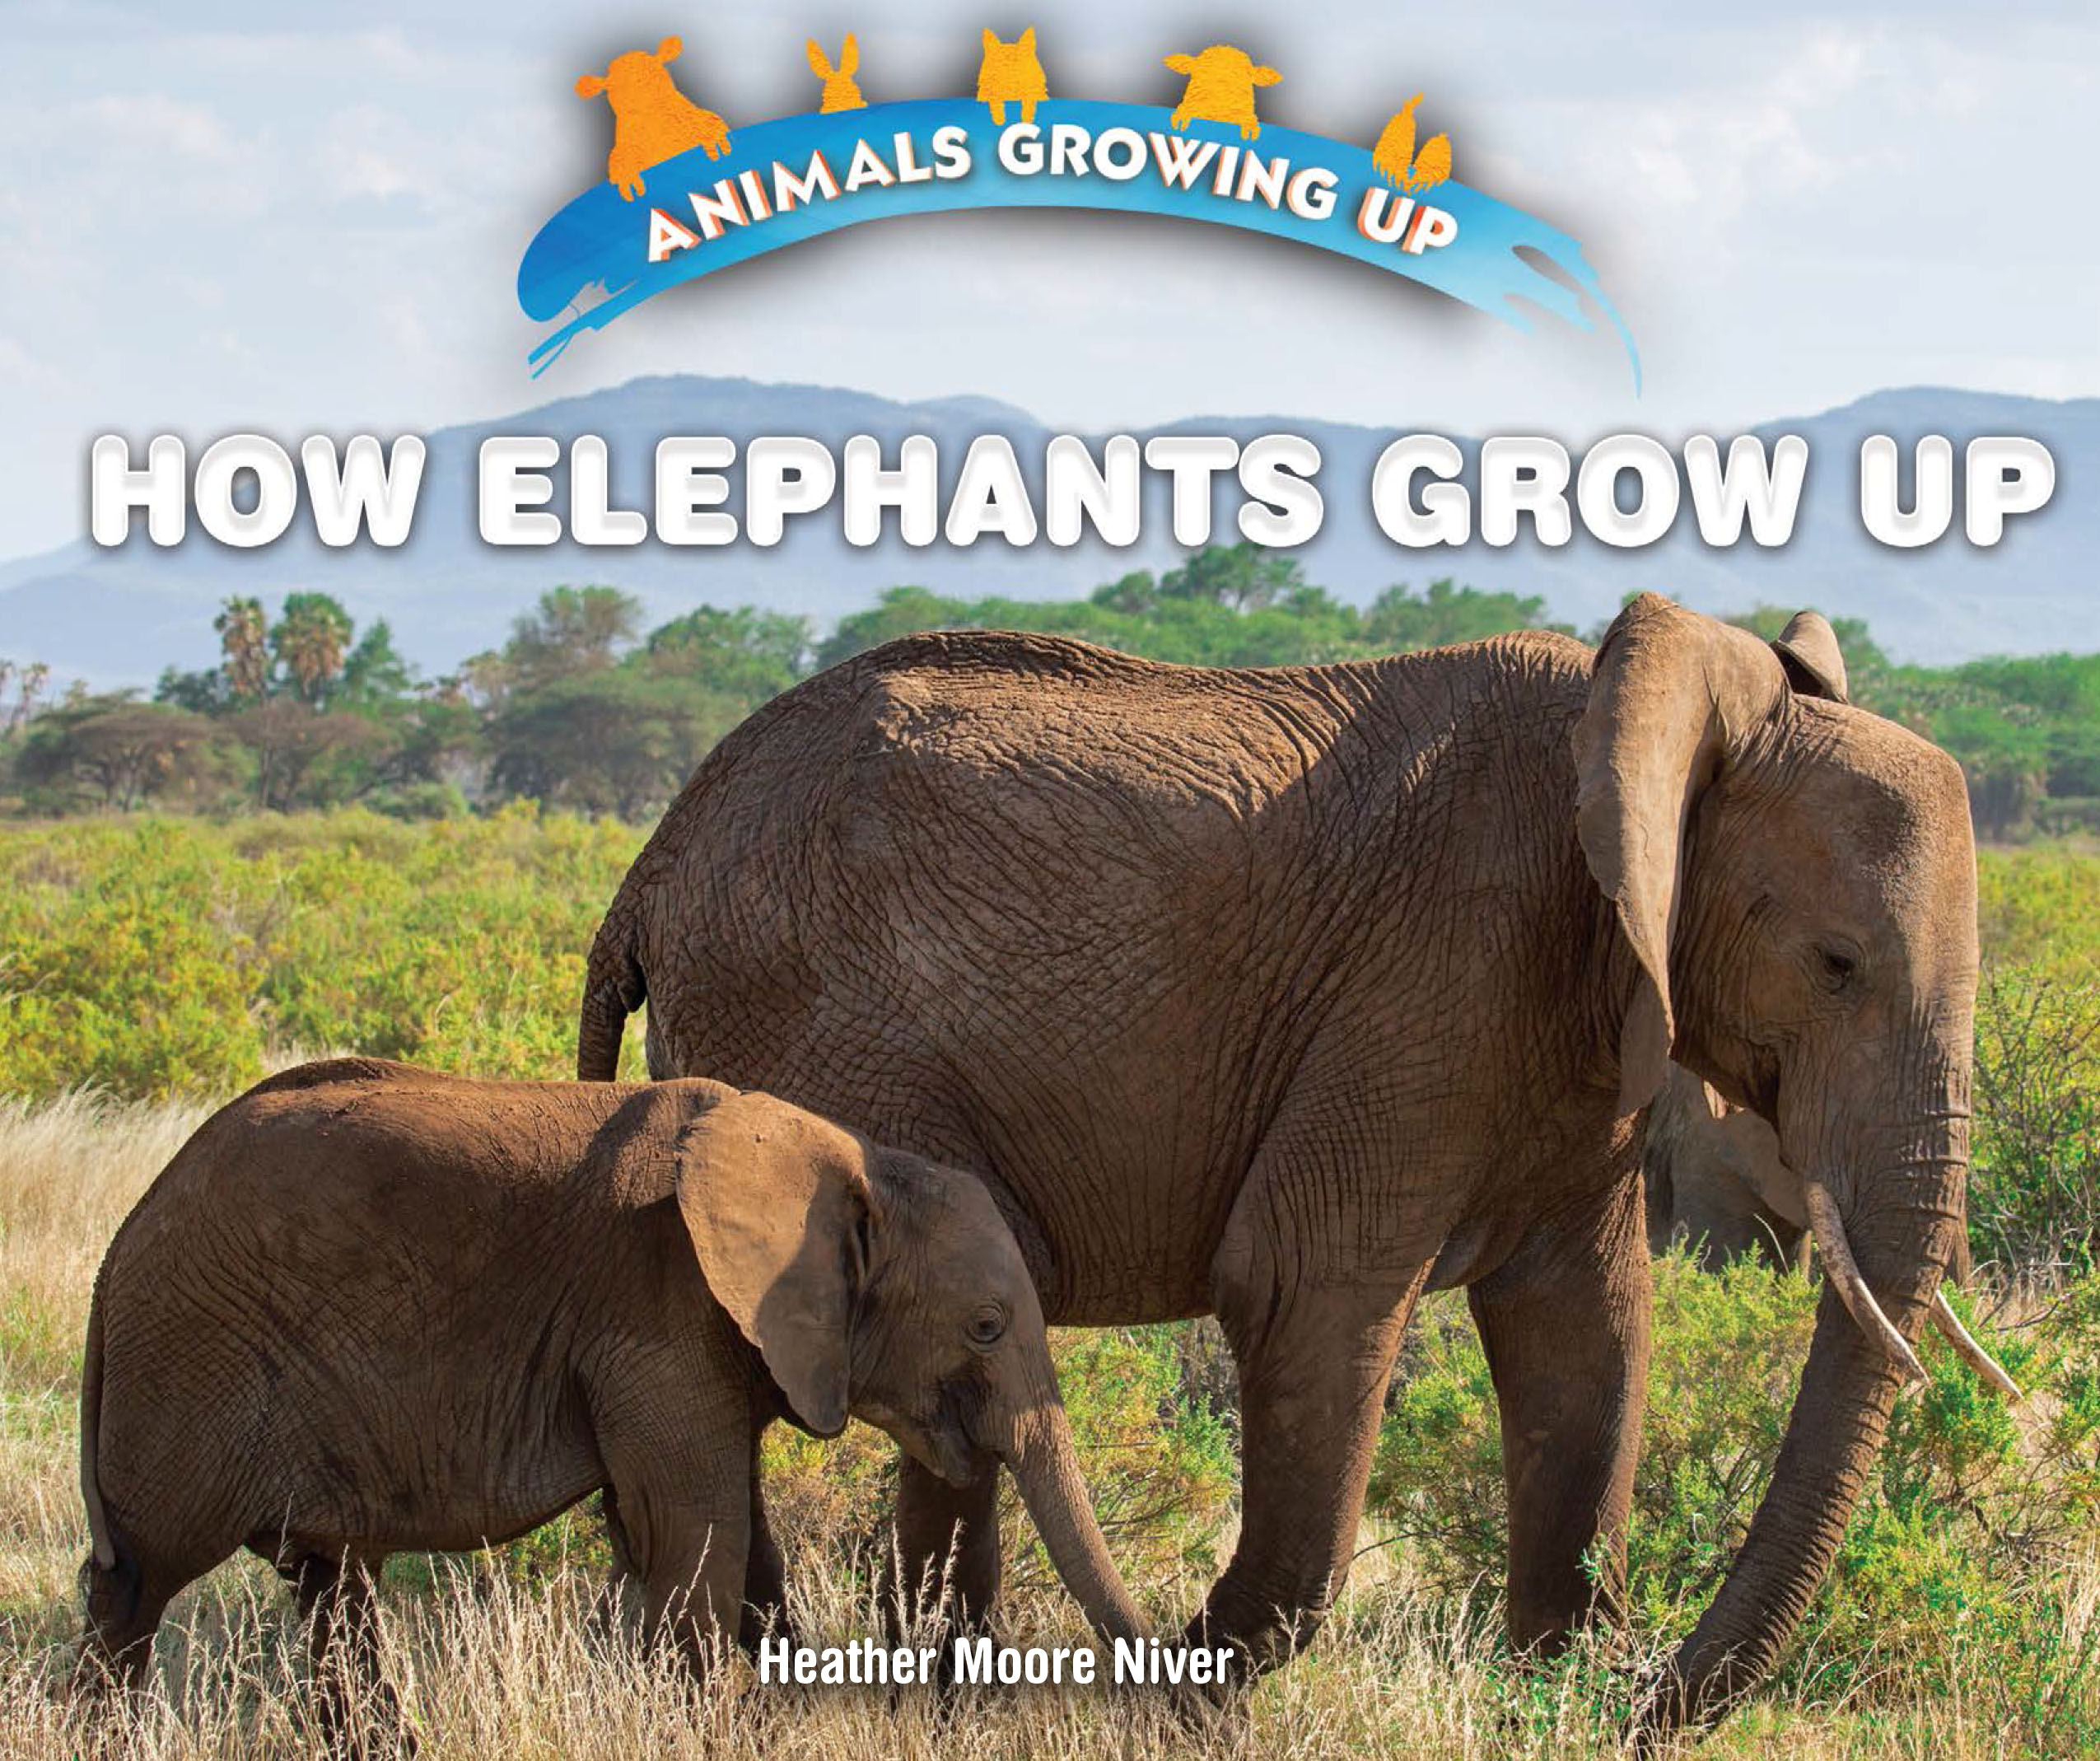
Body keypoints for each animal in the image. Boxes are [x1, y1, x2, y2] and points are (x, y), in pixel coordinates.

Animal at [75, 1057, 1144, 1725]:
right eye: (987, 1325)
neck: (851, 1157)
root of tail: (125, 1235)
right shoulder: (656, 1311)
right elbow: (692, 1537)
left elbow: (698, 1542)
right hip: (189, 1362)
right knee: (138, 1576)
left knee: (332, 1584)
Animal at [577, 593, 2020, 1732]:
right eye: (1836, 963)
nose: (1641, 1699)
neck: (1652, 724)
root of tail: (650, 866)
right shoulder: (1445, 968)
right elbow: (1301, 1288)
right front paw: (1194, 1693)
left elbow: (1588, 1338)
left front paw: (1552, 1696)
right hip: (807, 1027)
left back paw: (920, 1697)